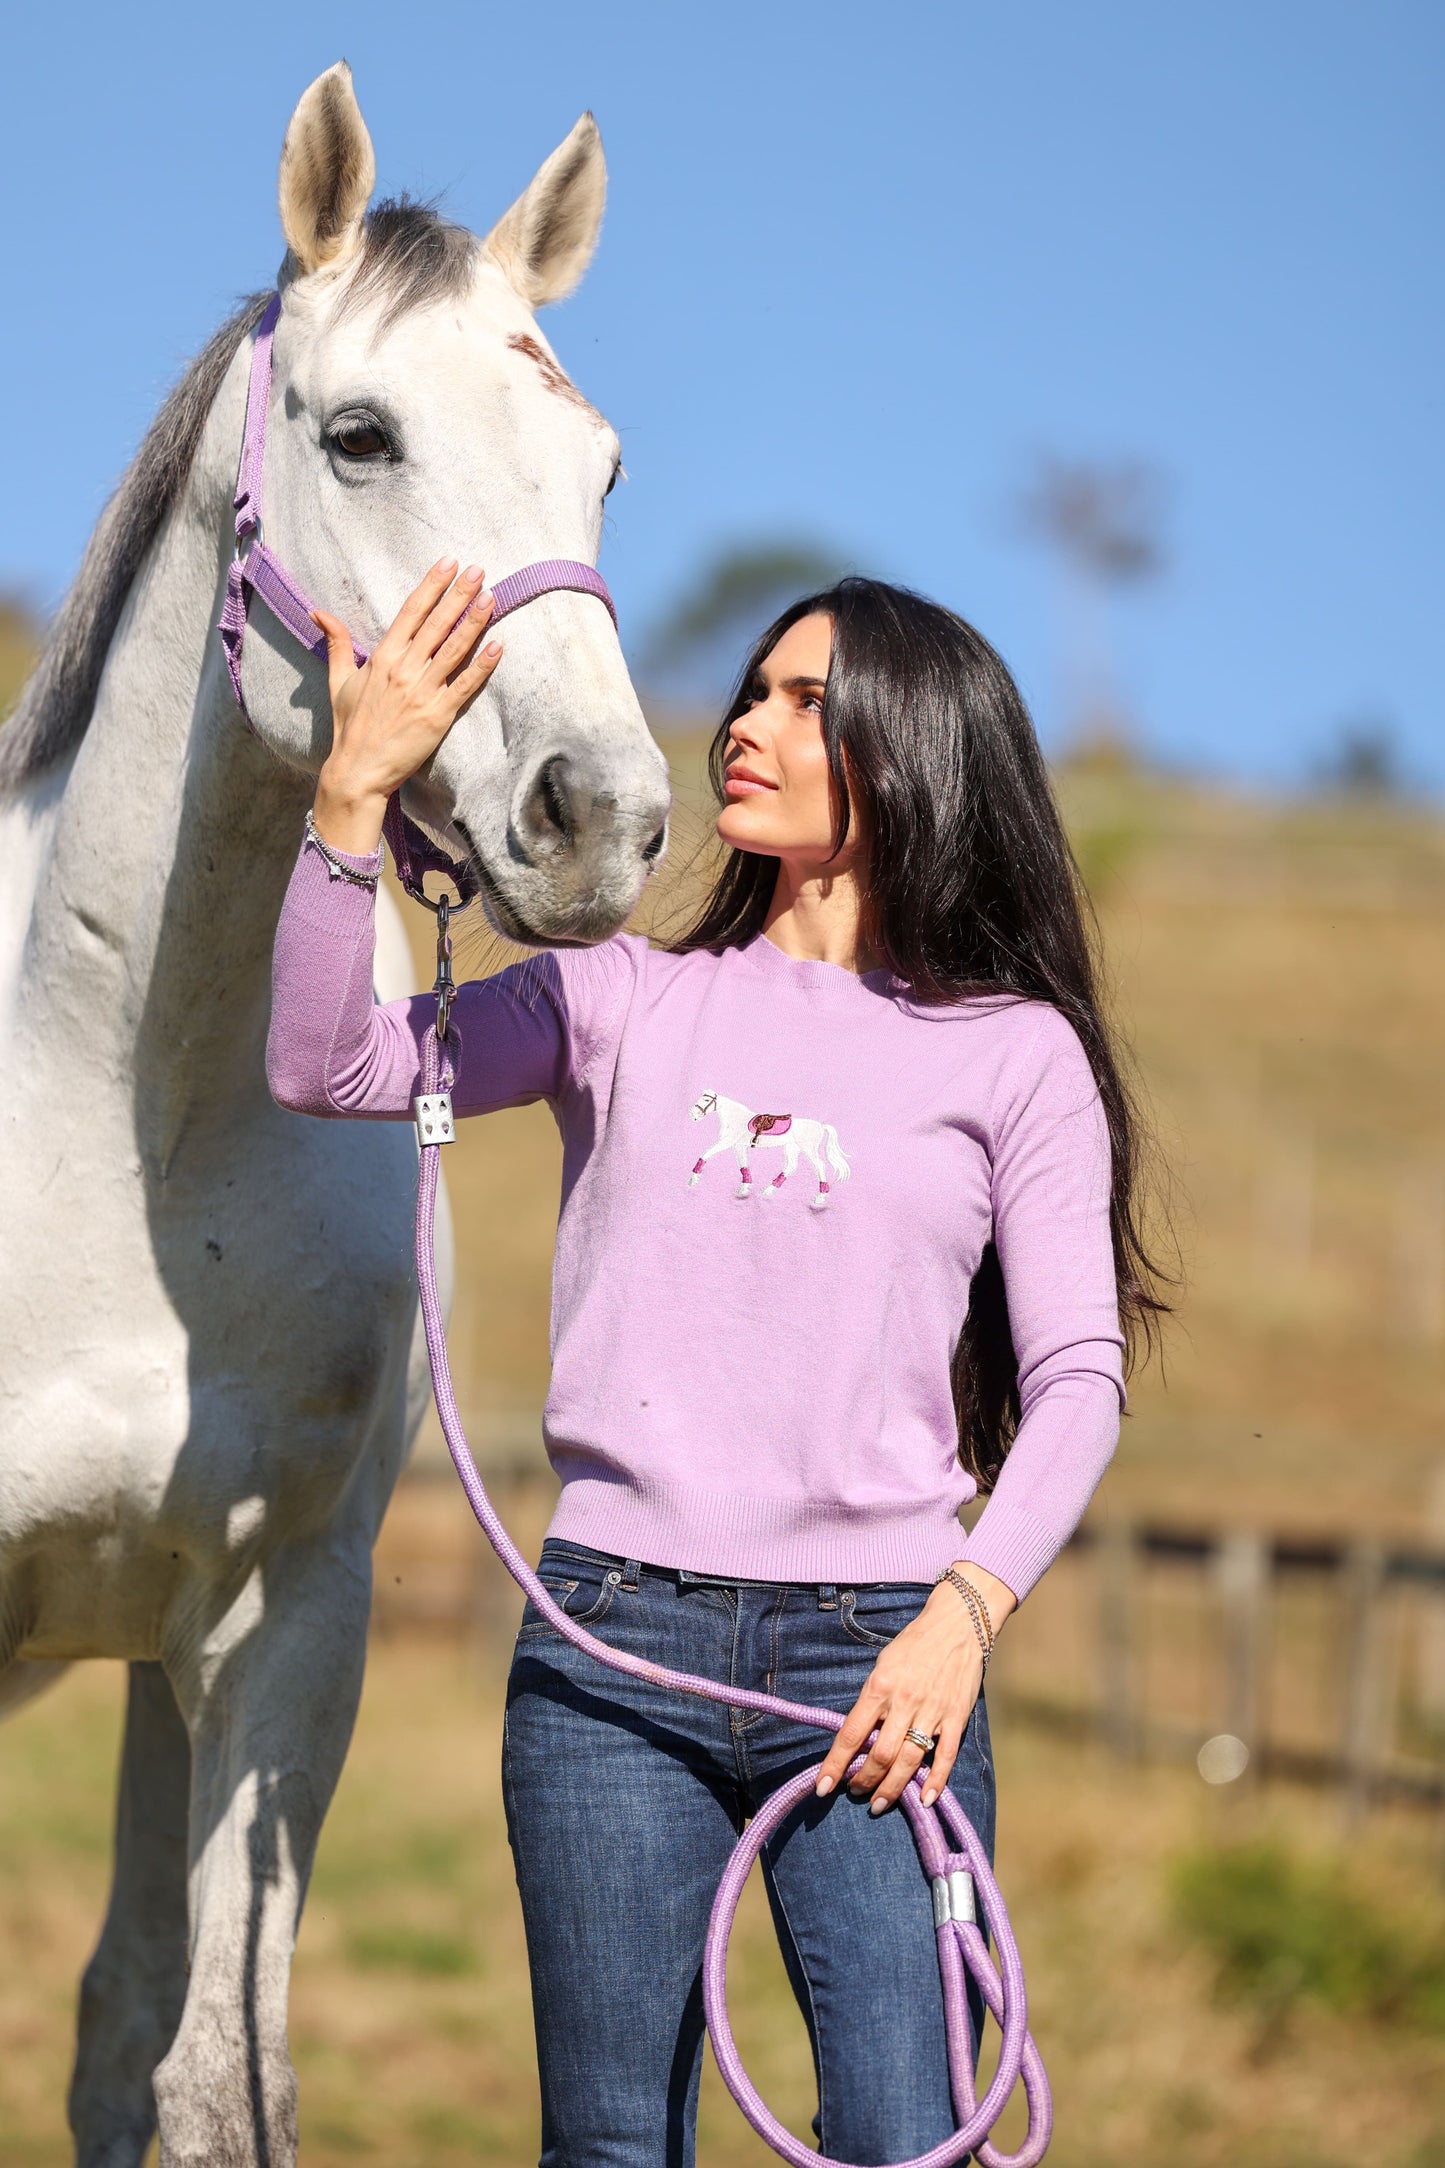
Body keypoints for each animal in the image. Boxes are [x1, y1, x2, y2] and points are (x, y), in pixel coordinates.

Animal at [0, 62, 669, 2168]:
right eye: (358, 434)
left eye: (601, 468)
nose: (602, 816)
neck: (120, 1108)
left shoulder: (278, 1632)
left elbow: (216, 2083)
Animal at [688, 1091, 853, 1208]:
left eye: (707, 1100)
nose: (692, 1114)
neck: (737, 1118)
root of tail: (820, 1125)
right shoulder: (739, 1146)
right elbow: (743, 1165)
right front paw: (744, 1187)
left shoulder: (728, 1142)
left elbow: (707, 1153)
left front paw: (693, 1178)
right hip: (791, 1148)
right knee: (791, 1166)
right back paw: (769, 1189)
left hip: (808, 1149)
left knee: (819, 1166)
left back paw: (820, 1197)